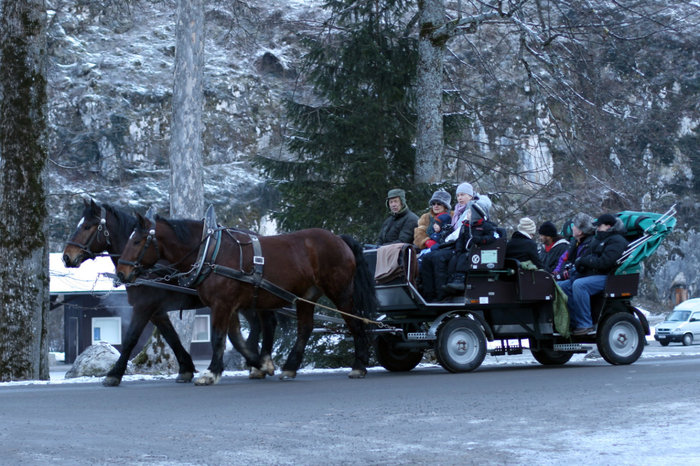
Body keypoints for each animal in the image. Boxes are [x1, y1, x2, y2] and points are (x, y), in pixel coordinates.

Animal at [63, 200, 276, 386]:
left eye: (87, 227)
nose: (67, 257)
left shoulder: (144, 307)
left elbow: (131, 338)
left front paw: (114, 374)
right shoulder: (157, 312)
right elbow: (172, 338)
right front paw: (186, 368)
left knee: (263, 323)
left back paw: (256, 362)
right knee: (261, 324)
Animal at [116, 213, 378, 384]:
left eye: (137, 241)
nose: (121, 273)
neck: (211, 252)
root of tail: (339, 239)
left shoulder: (222, 305)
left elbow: (219, 338)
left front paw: (211, 373)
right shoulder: (227, 306)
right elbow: (234, 339)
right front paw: (258, 364)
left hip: (340, 292)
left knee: (355, 323)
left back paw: (359, 366)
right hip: (306, 296)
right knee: (304, 328)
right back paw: (289, 368)